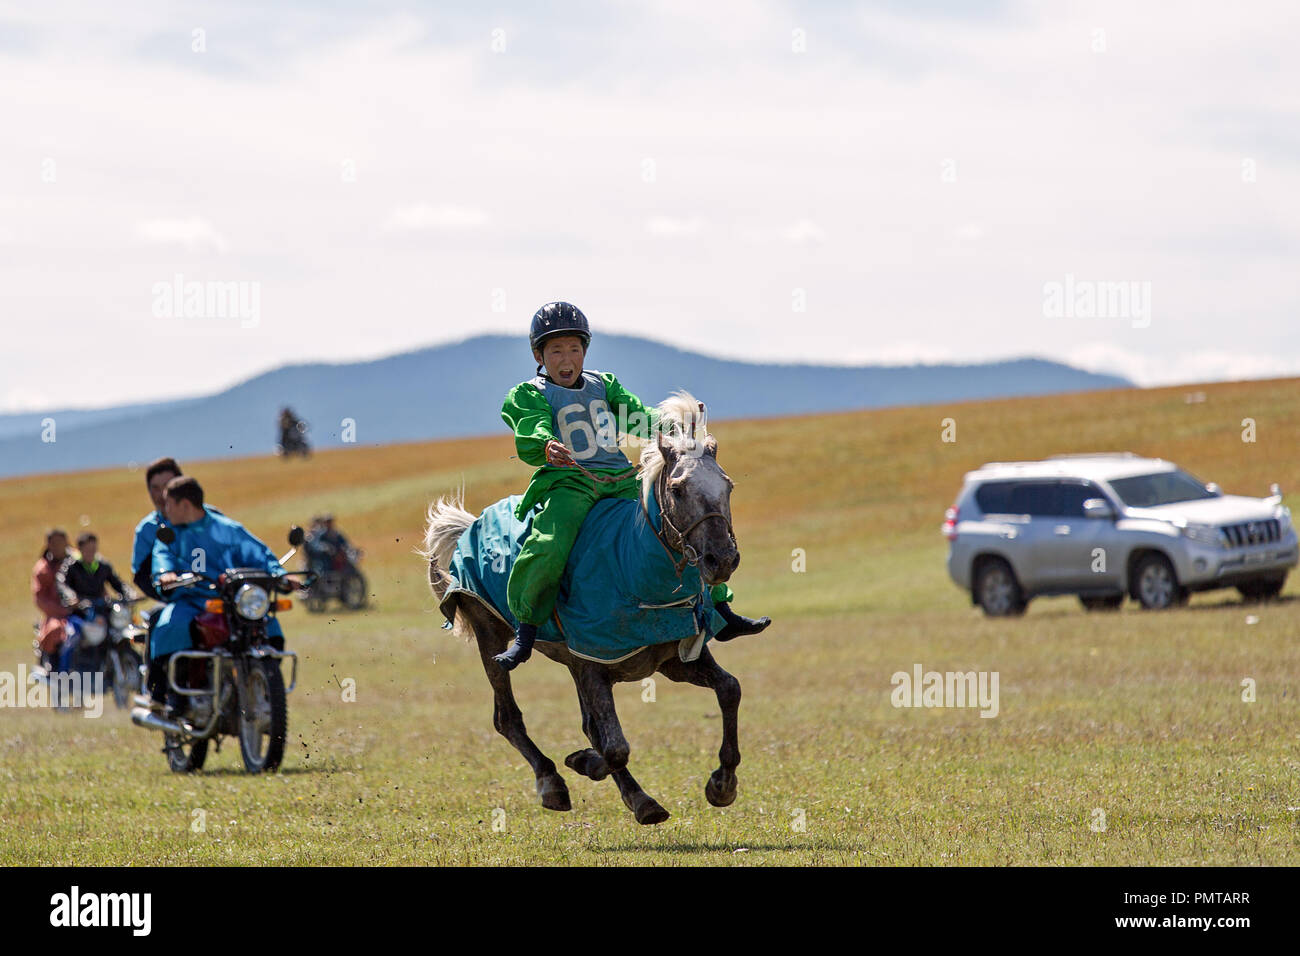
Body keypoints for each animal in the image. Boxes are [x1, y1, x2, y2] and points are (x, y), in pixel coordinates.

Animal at [420, 393, 746, 825]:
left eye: (727, 486)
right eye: (677, 489)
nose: (721, 560)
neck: (632, 566)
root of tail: (470, 525)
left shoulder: (673, 659)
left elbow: (729, 689)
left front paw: (722, 784)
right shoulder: (592, 663)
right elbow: (614, 747)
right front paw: (602, 775)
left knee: (586, 724)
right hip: (492, 636)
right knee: (508, 718)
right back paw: (552, 782)